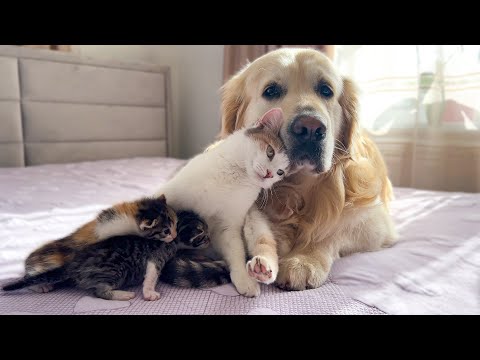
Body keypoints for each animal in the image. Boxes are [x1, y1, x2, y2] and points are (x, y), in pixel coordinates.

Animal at [2, 208, 218, 300]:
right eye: (202, 233)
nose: (210, 238)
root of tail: (73, 264)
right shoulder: (156, 256)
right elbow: (151, 274)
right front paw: (149, 292)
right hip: (114, 270)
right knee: (99, 291)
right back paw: (123, 294)